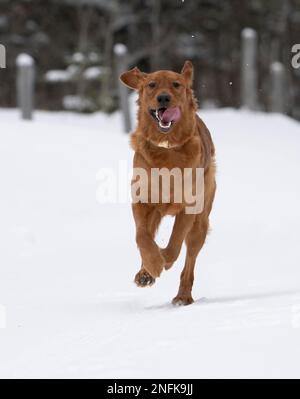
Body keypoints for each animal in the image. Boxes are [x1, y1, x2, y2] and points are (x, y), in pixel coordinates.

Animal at [120, 61, 217, 306]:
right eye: (152, 84)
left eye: (176, 84)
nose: (163, 98)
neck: (167, 146)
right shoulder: (142, 201)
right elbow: (142, 237)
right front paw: (151, 266)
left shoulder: (188, 207)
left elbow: (174, 245)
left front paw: (163, 259)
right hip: (157, 212)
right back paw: (145, 272)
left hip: (200, 221)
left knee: (189, 260)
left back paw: (183, 296)